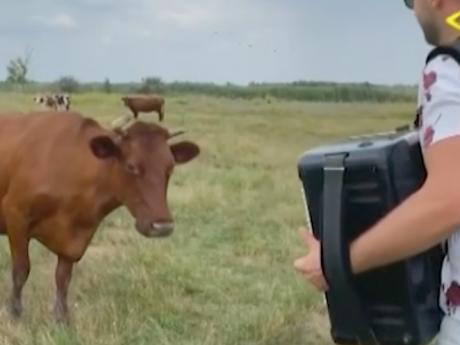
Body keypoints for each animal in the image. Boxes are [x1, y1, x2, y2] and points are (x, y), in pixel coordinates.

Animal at [0, 110, 199, 322]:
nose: (162, 226)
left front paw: (61, 316)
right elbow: (21, 270)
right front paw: (15, 312)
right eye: (131, 166)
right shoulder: (16, 214)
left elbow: (63, 277)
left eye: (170, 168)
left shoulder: (77, 236)